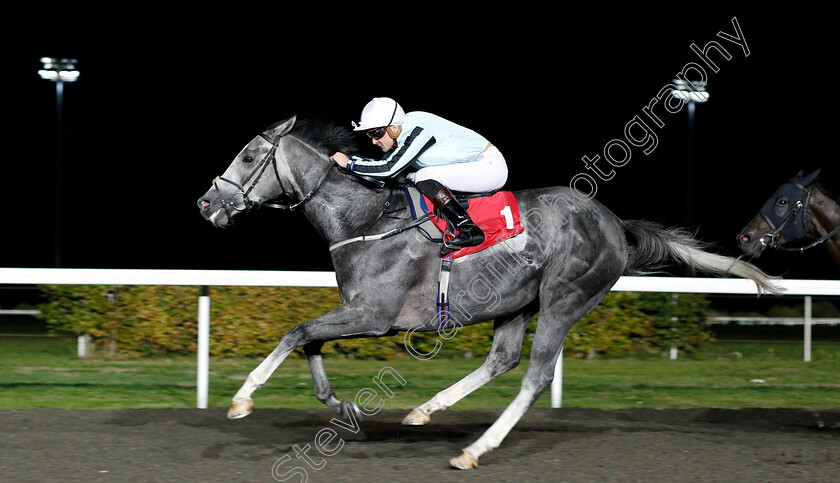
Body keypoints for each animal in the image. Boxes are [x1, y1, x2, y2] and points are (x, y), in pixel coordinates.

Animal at [199, 115, 780, 470]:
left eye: (248, 156)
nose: (206, 203)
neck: (366, 219)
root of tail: (616, 225)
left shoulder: (374, 313)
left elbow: (296, 332)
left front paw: (242, 399)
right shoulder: (357, 310)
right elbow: (310, 341)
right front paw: (339, 404)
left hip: (565, 300)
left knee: (536, 375)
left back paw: (474, 449)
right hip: (516, 302)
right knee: (502, 360)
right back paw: (426, 410)